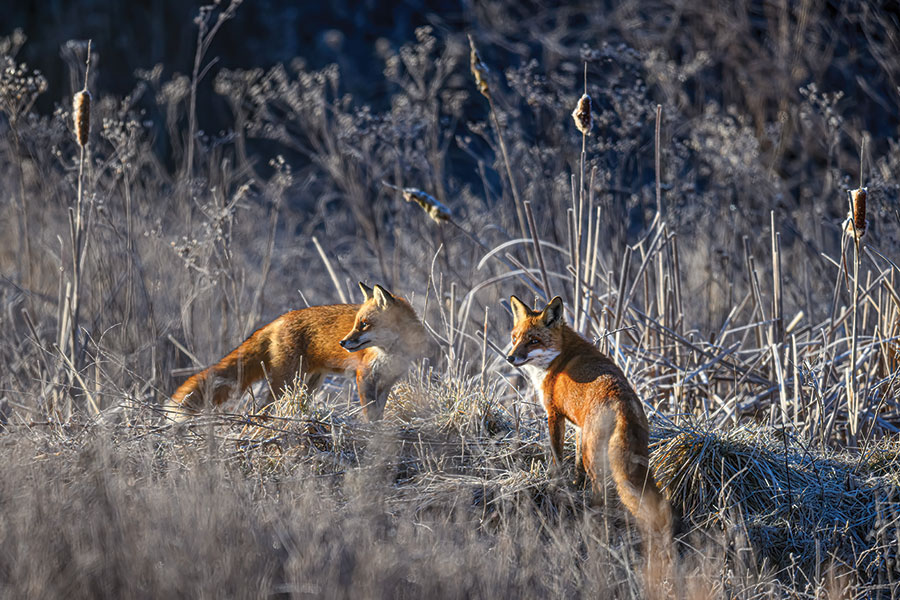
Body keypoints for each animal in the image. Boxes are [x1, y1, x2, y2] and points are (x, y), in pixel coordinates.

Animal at [168, 283, 428, 421]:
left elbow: (379, 412)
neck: (391, 351)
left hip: (308, 383)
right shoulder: (364, 376)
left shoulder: (387, 381)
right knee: (262, 408)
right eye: (357, 323)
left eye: (364, 324)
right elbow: (370, 413)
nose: (343, 342)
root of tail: (278, 319)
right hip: (285, 382)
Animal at [506, 295, 674, 542]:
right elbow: (576, 466)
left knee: (601, 492)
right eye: (515, 338)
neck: (559, 356)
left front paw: (556, 484)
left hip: (594, 455)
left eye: (534, 340)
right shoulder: (578, 427)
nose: (510, 358)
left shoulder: (554, 414)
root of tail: (620, 401)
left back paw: (592, 522)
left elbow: (556, 457)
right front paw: (576, 484)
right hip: (632, 458)